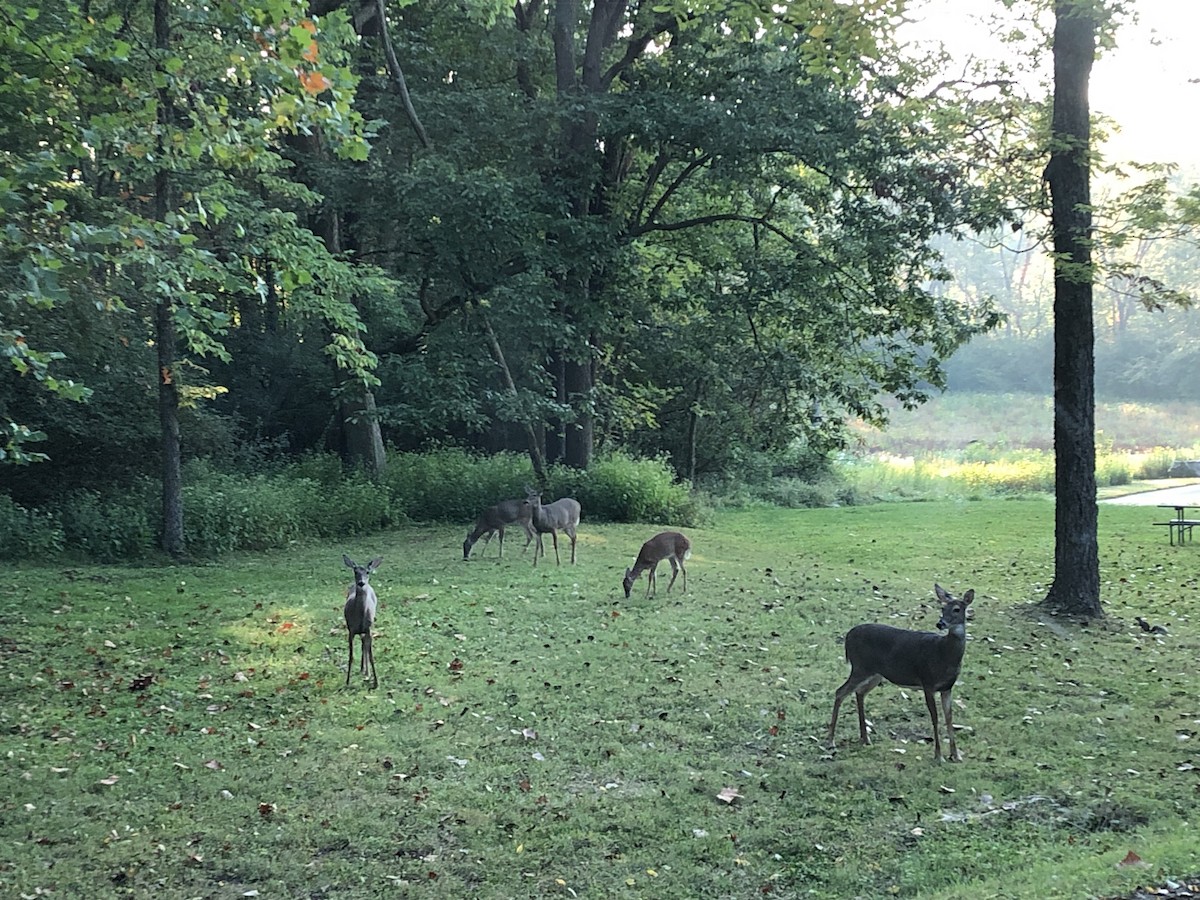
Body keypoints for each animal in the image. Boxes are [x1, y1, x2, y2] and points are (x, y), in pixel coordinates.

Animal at [343, 554, 382, 689]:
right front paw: (347, 682)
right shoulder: (351, 629)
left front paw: (376, 682)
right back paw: (363, 670)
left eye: (367, 572)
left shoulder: (369, 628)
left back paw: (366, 672)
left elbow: (371, 656)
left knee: (364, 644)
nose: (361, 583)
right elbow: (350, 656)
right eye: (355, 571)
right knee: (363, 643)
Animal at [828, 584, 974, 763]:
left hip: (875, 673)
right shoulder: (927, 682)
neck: (944, 654)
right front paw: (939, 756)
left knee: (859, 692)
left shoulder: (947, 687)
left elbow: (949, 717)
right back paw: (831, 741)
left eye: (956, 609)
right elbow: (935, 717)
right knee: (840, 691)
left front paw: (956, 755)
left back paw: (865, 738)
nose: (940, 623)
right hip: (860, 667)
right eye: (942, 607)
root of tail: (848, 636)